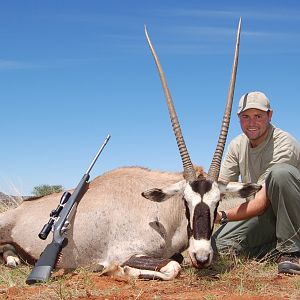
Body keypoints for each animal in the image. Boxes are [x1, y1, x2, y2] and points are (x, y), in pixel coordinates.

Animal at [0, 19, 260, 282]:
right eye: (186, 201)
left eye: (218, 201)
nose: (202, 257)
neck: (161, 213)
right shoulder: (125, 251)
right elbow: (171, 267)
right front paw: (118, 270)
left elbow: (175, 260)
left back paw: (13, 259)